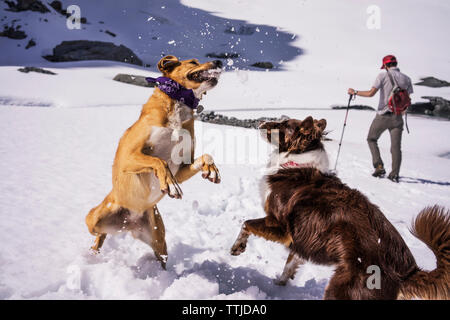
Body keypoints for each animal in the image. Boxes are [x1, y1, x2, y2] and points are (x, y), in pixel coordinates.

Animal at [85, 55, 222, 268]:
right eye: (193, 62)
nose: (219, 62)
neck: (178, 107)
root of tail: (129, 222)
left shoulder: (182, 167)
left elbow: (205, 155)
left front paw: (211, 168)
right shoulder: (128, 157)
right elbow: (159, 161)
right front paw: (170, 185)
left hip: (159, 240)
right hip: (94, 218)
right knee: (99, 233)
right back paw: (94, 252)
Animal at [232, 116, 450, 298]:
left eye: (284, 124)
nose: (260, 121)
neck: (297, 164)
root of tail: (408, 271)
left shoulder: (281, 226)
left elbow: (246, 223)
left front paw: (237, 247)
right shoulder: (301, 237)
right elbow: (290, 263)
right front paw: (279, 284)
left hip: (343, 288)